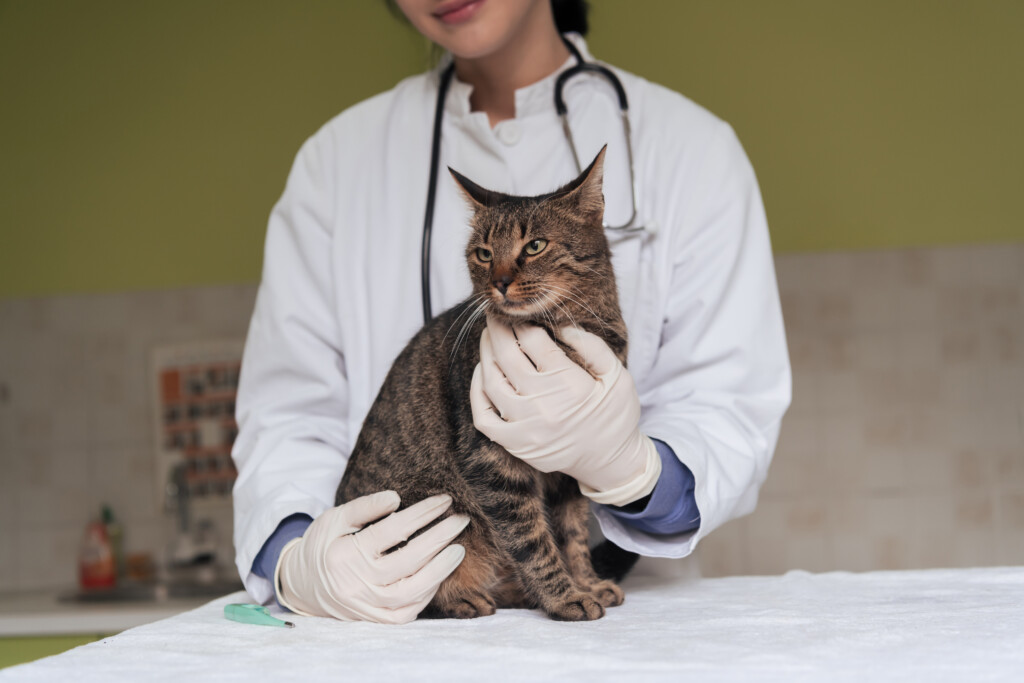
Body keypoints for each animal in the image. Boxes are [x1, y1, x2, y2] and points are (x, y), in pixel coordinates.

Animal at [335, 147, 634, 622]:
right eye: (483, 253)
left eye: (535, 246)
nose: (500, 281)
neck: (571, 329)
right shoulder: (492, 460)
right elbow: (533, 540)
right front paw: (564, 597)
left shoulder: (575, 458)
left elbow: (571, 534)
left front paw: (586, 582)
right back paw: (466, 597)